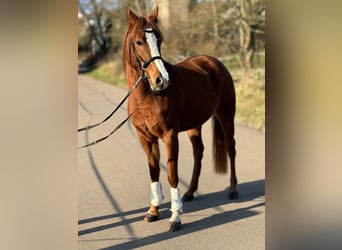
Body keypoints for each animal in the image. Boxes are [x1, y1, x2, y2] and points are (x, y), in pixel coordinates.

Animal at [123, 6, 238, 232]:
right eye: (139, 41)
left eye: (159, 39)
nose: (162, 80)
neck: (147, 95)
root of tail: (213, 62)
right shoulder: (145, 138)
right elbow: (154, 171)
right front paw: (153, 211)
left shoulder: (170, 135)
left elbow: (171, 174)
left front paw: (175, 217)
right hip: (195, 125)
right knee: (198, 152)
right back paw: (190, 192)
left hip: (226, 116)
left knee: (231, 148)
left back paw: (232, 190)